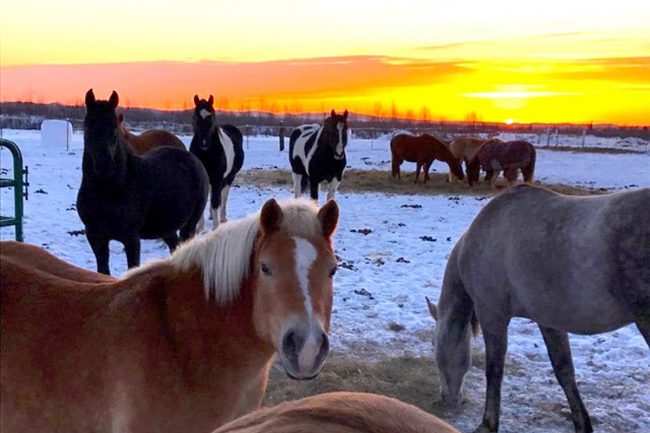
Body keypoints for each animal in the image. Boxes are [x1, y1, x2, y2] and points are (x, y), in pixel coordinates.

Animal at [77, 89, 209, 275]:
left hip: (189, 225)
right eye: (88, 126)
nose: (105, 165)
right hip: (166, 228)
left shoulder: (131, 239)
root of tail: (194, 159)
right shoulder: (96, 237)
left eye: (115, 127)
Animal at [190, 95, 245, 229]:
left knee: (224, 196)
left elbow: (216, 201)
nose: (204, 143)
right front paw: (200, 227)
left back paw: (222, 217)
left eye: (211, 116)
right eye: (196, 117)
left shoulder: (217, 178)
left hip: (229, 177)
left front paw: (215, 226)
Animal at [427, 185, 650, 433]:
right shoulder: (549, 321)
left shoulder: (492, 314)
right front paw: (582, 423)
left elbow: (494, 369)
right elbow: (564, 371)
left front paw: (488, 423)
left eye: (434, 344)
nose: (447, 397)